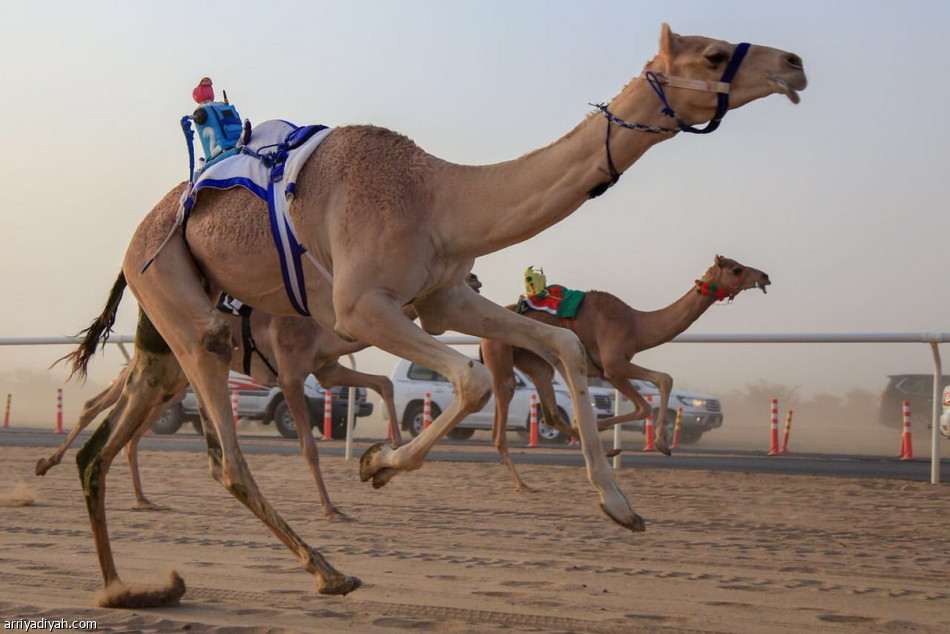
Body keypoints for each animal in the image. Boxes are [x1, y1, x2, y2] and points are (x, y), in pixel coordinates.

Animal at [484, 254, 772, 492]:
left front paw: (601, 429)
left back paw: (603, 450)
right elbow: (660, 384)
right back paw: (523, 484)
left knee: (551, 411)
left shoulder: (610, 371)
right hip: (498, 351)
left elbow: (647, 399)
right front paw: (661, 444)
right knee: (501, 421)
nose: (764, 276)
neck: (637, 325)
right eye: (736, 269)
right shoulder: (613, 366)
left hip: (536, 361)